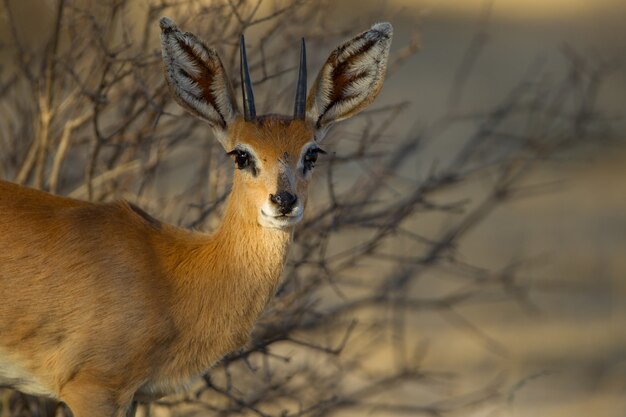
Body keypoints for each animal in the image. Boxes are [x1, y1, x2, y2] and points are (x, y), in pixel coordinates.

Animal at [0, 17, 390, 416]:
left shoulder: (132, 396)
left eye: (311, 153)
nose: (283, 200)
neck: (172, 273)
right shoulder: (95, 389)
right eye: (241, 155)